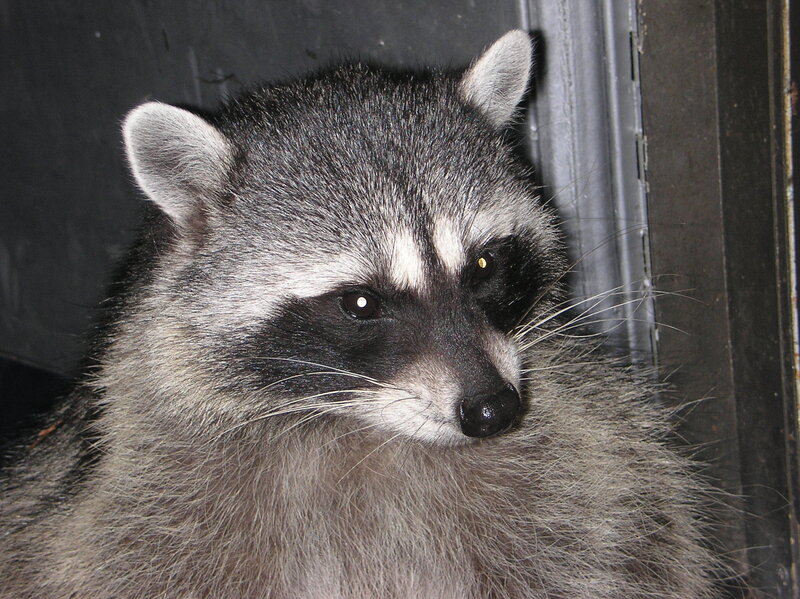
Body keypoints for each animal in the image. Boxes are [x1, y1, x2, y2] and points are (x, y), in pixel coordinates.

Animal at [0, 30, 718, 598]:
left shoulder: (592, 459)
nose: (495, 411)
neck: (359, 425)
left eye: (485, 265)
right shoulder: (135, 507)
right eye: (361, 303)